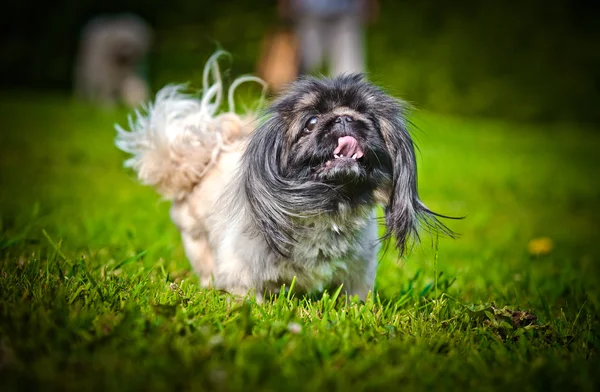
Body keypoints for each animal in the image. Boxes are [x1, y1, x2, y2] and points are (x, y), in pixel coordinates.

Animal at [115, 52, 450, 300]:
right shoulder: (240, 272)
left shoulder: (358, 274)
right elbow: (246, 297)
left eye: (367, 116)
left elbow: (354, 300)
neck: (325, 205)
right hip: (197, 241)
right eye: (311, 122)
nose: (344, 118)